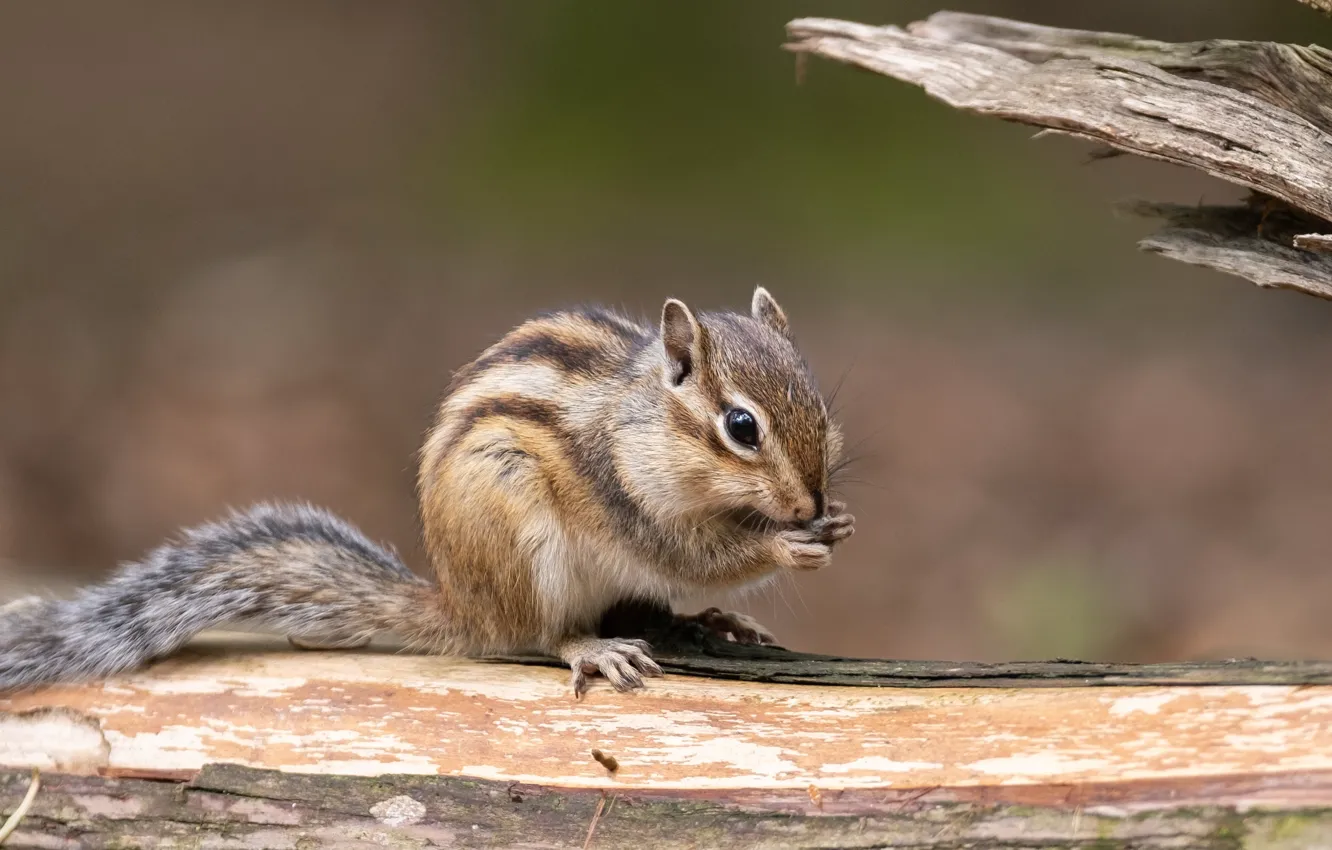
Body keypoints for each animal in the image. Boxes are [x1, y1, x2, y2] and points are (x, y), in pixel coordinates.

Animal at [0, 287, 853, 696]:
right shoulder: (625, 495)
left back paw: (711, 623)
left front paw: (835, 524)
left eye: (820, 404)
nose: (810, 506)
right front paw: (785, 544)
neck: (640, 419)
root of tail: (460, 603)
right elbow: (694, 556)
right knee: (535, 634)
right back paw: (593, 646)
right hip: (520, 536)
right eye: (741, 427)